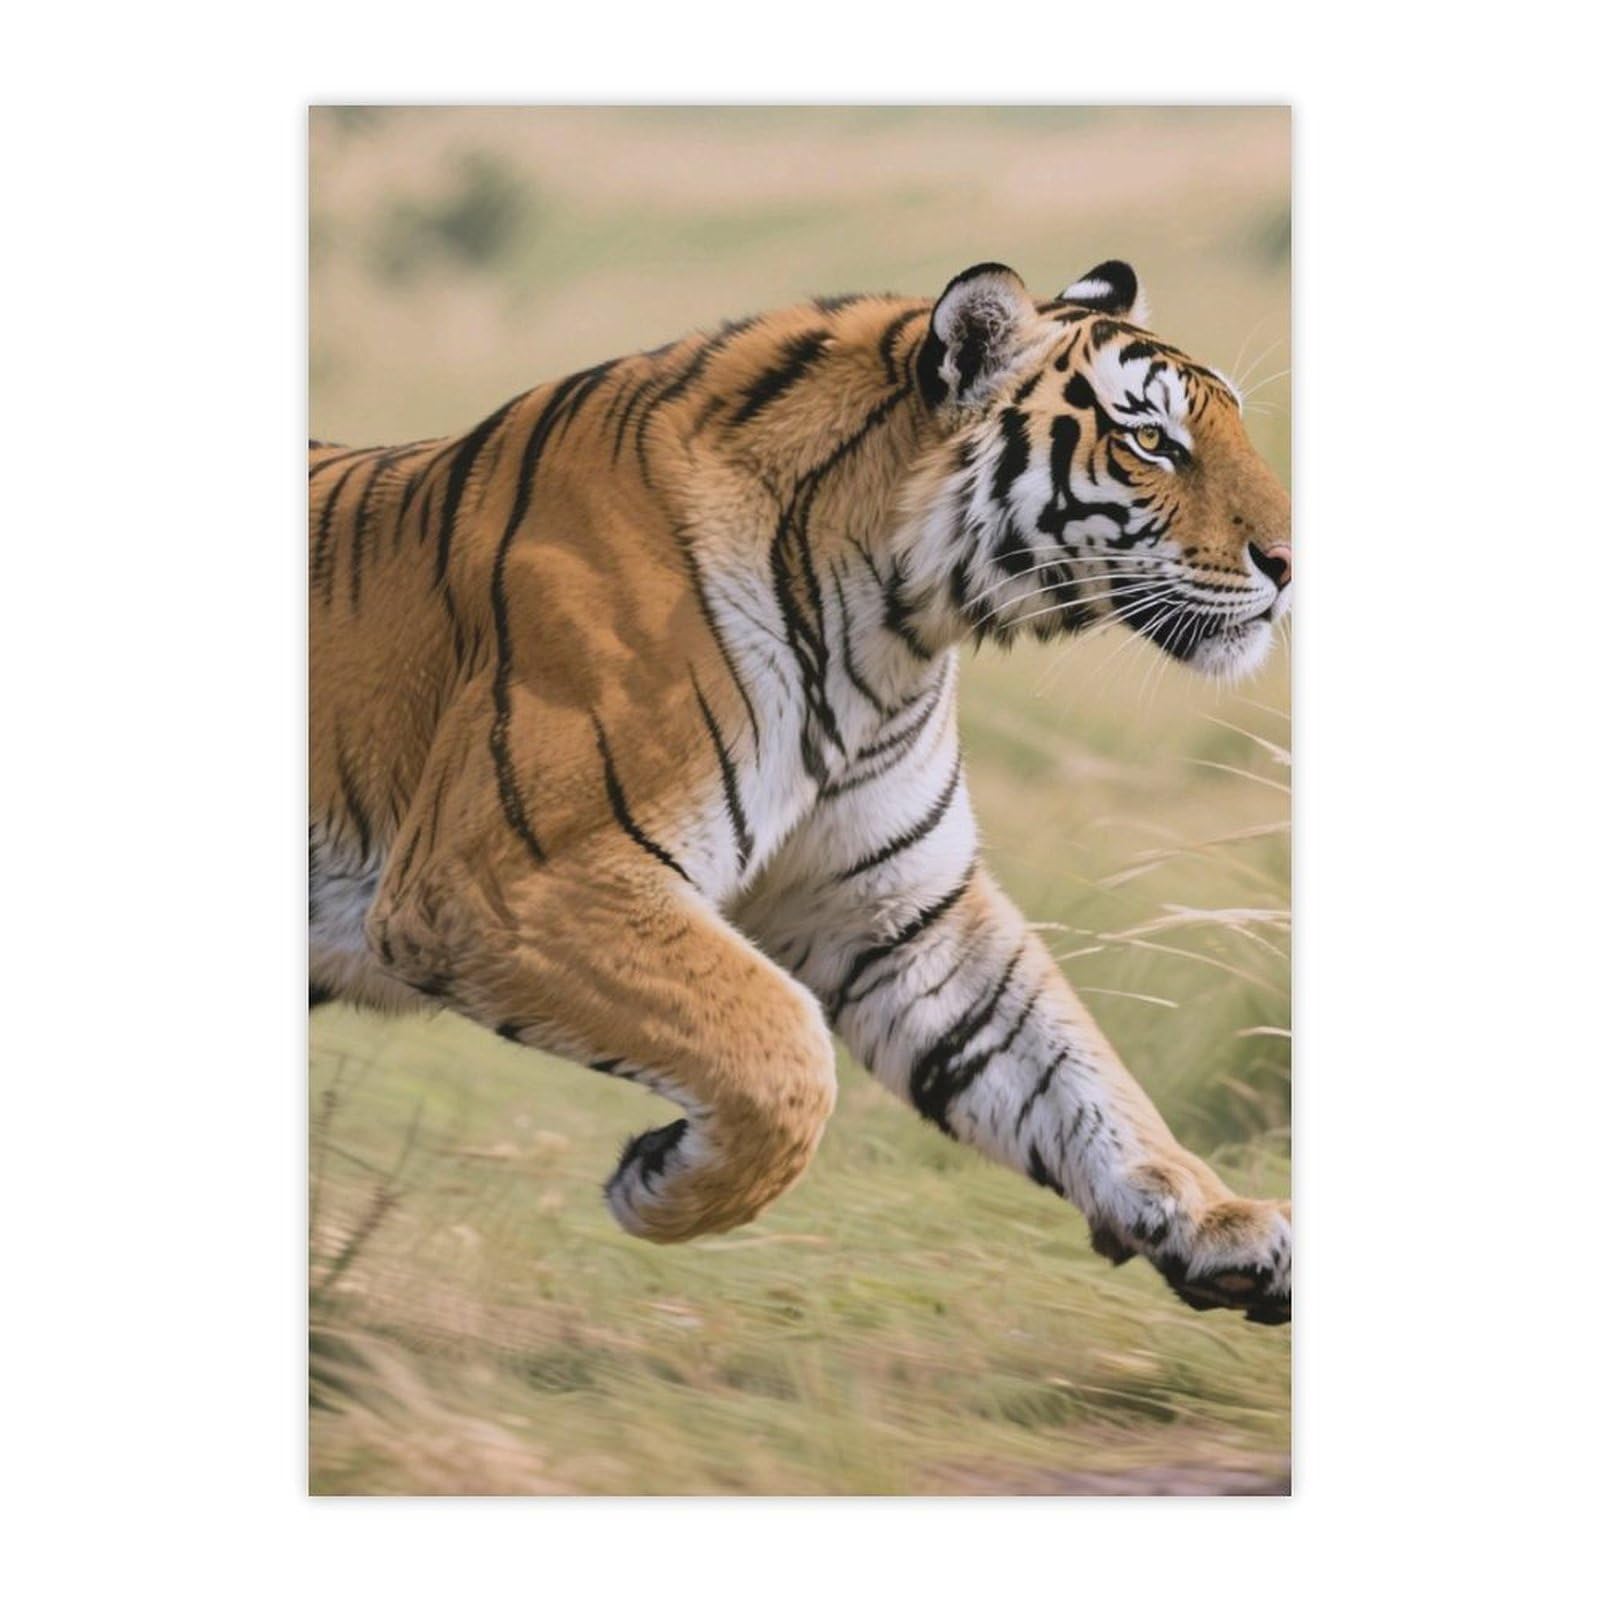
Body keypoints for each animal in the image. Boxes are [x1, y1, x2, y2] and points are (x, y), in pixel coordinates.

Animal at [310, 259, 1293, 1324]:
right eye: (1151, 441)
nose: (1290, 565)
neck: (891, 626)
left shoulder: (897, 911)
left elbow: (1063, 1065)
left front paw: (1216, 1223)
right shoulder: (507, 881)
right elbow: (781, 1046)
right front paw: (661, 1188)